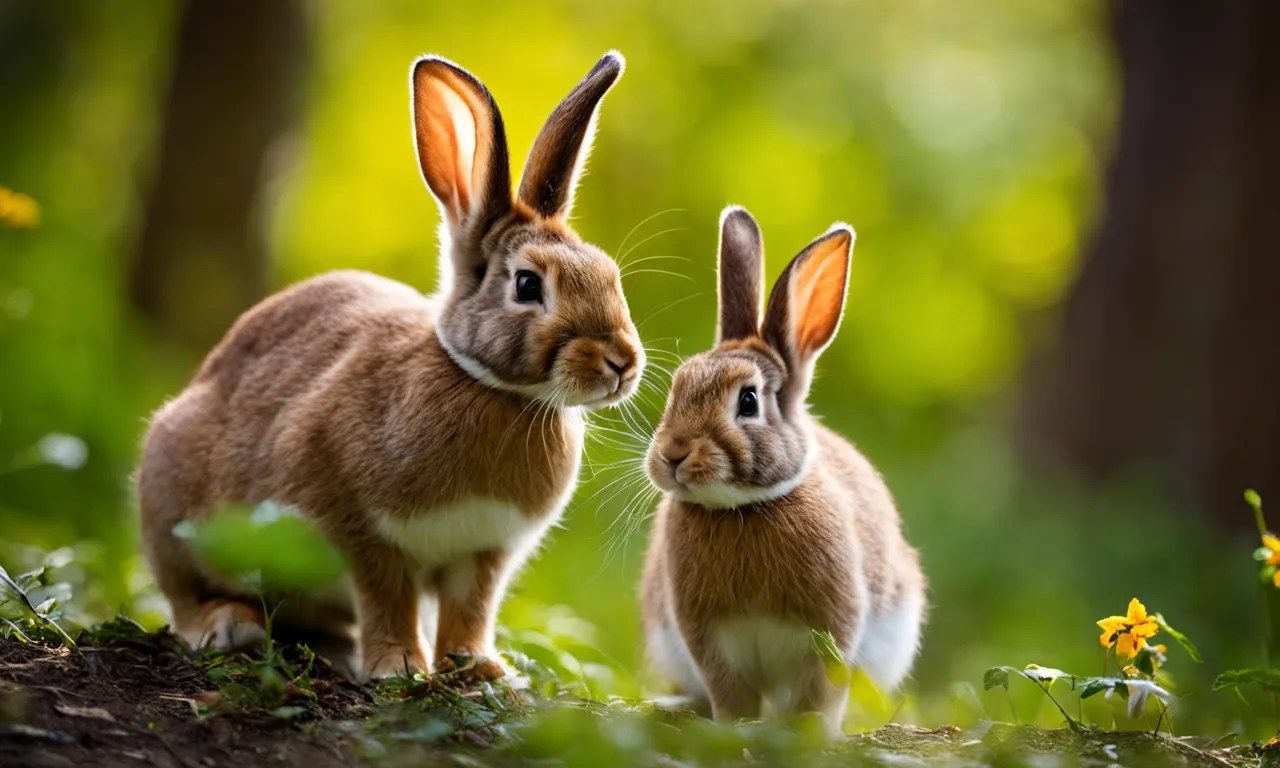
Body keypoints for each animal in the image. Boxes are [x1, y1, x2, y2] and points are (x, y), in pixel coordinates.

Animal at [136, 51, 645, 681]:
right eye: (528, 285)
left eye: (608, 273)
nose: (622, 361)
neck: (487, 385)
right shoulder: (360, 531)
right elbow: (386, 597)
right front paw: (398, 666)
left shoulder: (483, 552)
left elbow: (471, 609)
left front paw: (481, 669)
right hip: (174, 508)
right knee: (183, 592)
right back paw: (227, 624)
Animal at [640, 206, 925, 734]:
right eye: (677, 386)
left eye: (749, 401)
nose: (672, 455)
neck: (745, 510)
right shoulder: (709, 640)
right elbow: (730, 692)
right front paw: (732, 728)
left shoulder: (832, 632)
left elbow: (819, 692)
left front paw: (809, 733)